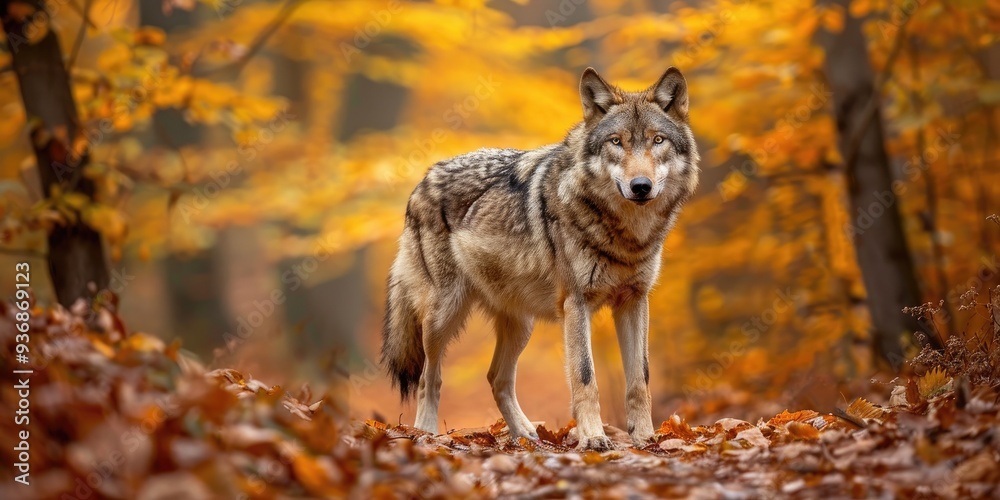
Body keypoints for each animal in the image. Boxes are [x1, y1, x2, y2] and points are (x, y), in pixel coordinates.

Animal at [381, 67, 699, 450]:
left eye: (657, 140)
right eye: (616, 142)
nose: (641, 186)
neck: (625, 234)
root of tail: (424, 178)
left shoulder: (635, 301)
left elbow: (640, 379)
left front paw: (646, 438)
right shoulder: (576, 304)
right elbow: (585, 377)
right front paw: (594, 438)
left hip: (521, 325)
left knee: (497, 378)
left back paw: (527, 436)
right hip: (444, 315)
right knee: (429, 378)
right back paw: (426, 434)